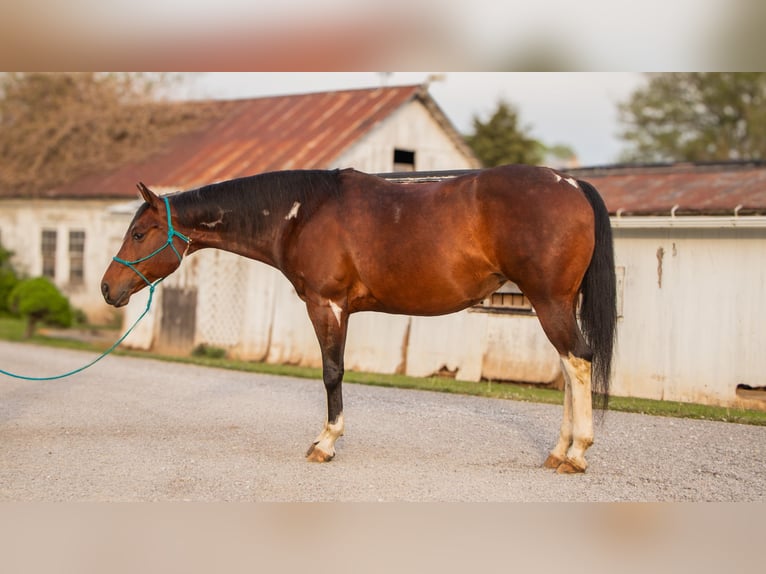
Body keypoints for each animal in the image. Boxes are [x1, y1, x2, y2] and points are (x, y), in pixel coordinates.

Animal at [102, 165, 616, 476]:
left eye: (139, 232)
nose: (108, 288)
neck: (301, 213)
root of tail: (571, 184)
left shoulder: (326, 305)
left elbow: (332, 373)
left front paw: (325, 443)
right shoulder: (338, 308)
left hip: (548, 302)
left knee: (578, 361)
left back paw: (577, 454)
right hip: (556, 303)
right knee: (570, 367)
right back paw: (559, 451)